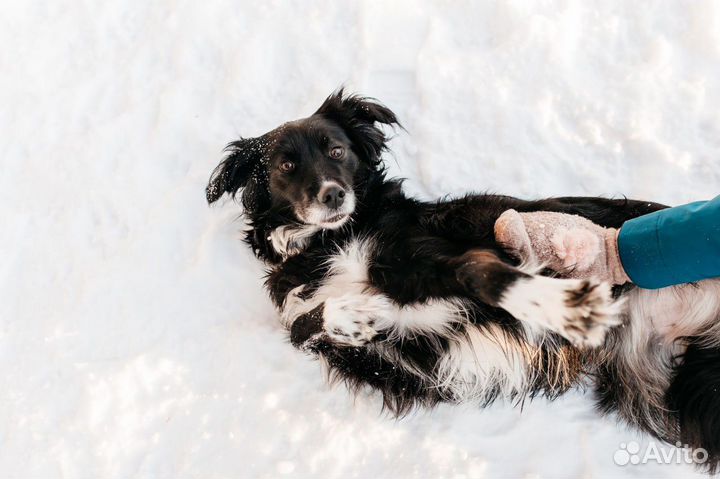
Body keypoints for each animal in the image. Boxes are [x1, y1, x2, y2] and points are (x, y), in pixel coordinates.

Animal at [205, 90, 720, 472]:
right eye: (286, 165)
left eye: (337, 151)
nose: (333, 195)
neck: (329, 240)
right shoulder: (384, 353)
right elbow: (301, 325)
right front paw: (355, 313)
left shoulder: (434, 256)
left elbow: (484, 272)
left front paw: (560, 303)